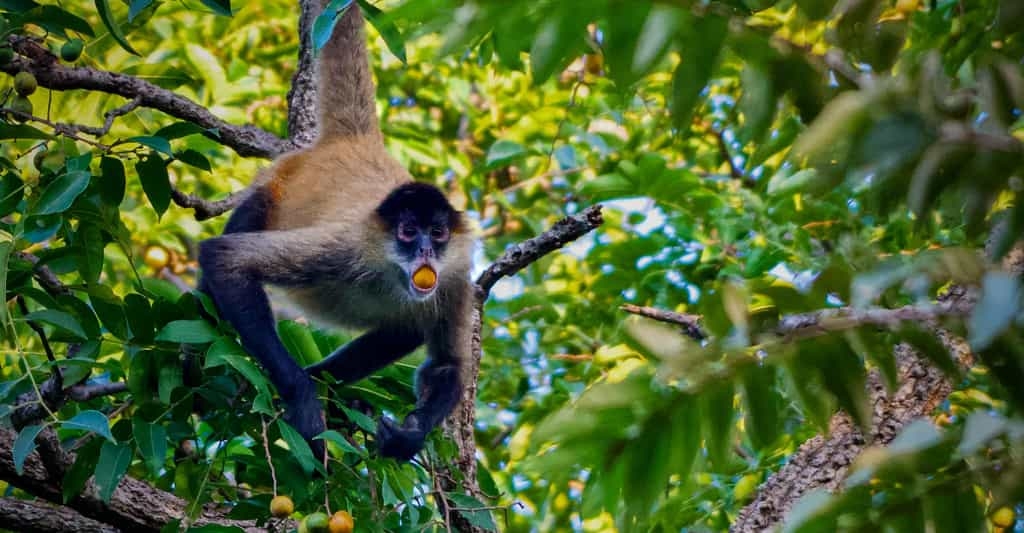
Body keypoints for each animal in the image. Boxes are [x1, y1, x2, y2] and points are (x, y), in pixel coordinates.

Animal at [197, 3, 473, 460]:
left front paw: (409, 435)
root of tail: (355, 142)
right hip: (274, 188)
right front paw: (303, 397)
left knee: (406, 327)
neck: (391, 275)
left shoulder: (455, 275)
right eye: (408, 231)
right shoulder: (346, 247)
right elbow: (224, 259)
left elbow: (447, 365)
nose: (425, 253)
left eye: (437, 233)